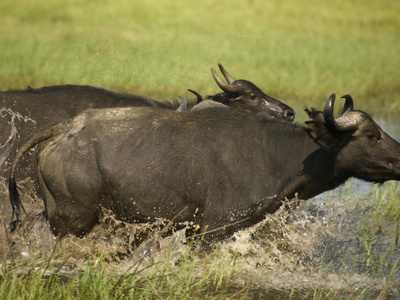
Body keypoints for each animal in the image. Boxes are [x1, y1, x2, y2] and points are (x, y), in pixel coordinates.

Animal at [7, 93, 398, 244]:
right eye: (372, 135)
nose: (399, 158)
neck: (276, 155)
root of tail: (62, 130)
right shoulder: (212, 230)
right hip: (72, 219)